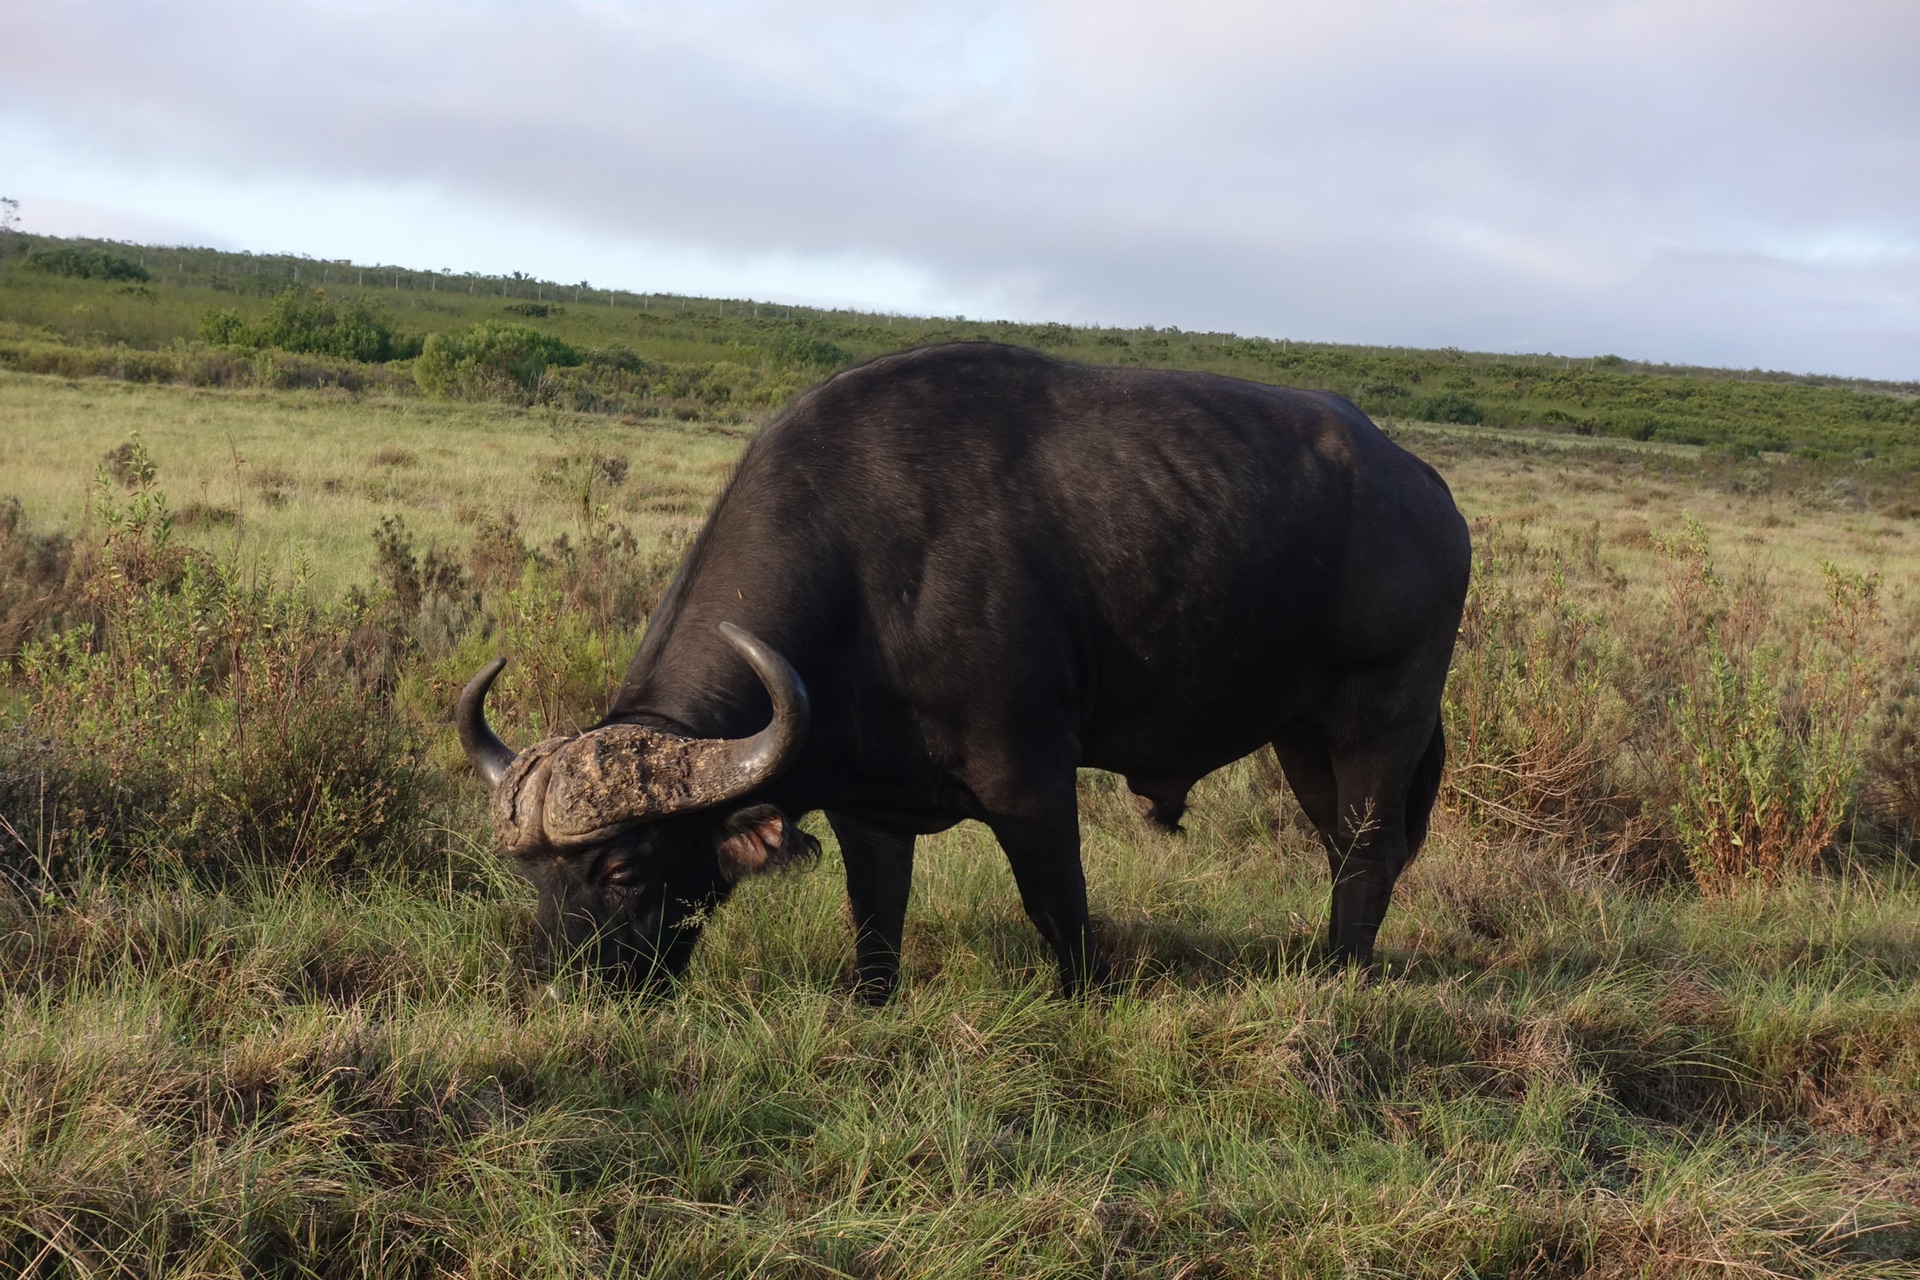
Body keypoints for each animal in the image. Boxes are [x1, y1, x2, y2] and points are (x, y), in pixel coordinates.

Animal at [460, 339, 1466, 997]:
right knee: (1343, 849)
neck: (865, 579)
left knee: (1368, 853)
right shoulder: (866, 806)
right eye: (533, 878)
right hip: (1301, 736)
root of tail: (1425, 489)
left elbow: (1059, 905)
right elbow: (875, 922)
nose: (555, 991)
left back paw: (1341, 979)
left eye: (624, 871)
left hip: (1382, 718)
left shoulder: (1031, 776)